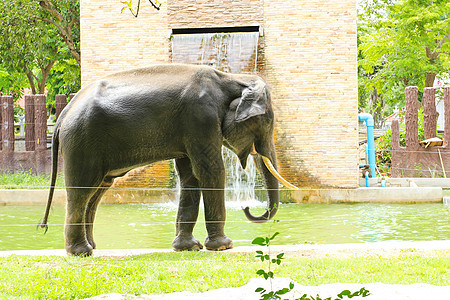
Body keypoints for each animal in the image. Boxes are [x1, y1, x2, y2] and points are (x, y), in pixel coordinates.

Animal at [39, 63, 284, 255]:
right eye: (267, 122)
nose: (246, 207)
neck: (230, 77)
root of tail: (63, 113)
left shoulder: (190, 129)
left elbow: (190, 176)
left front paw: (188, 247)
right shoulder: (200, 117)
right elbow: (211, 171)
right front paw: (223, 246)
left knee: (97, 191)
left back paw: (92, 247)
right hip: (81, 143)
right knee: (82, 191)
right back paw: (80, 252)